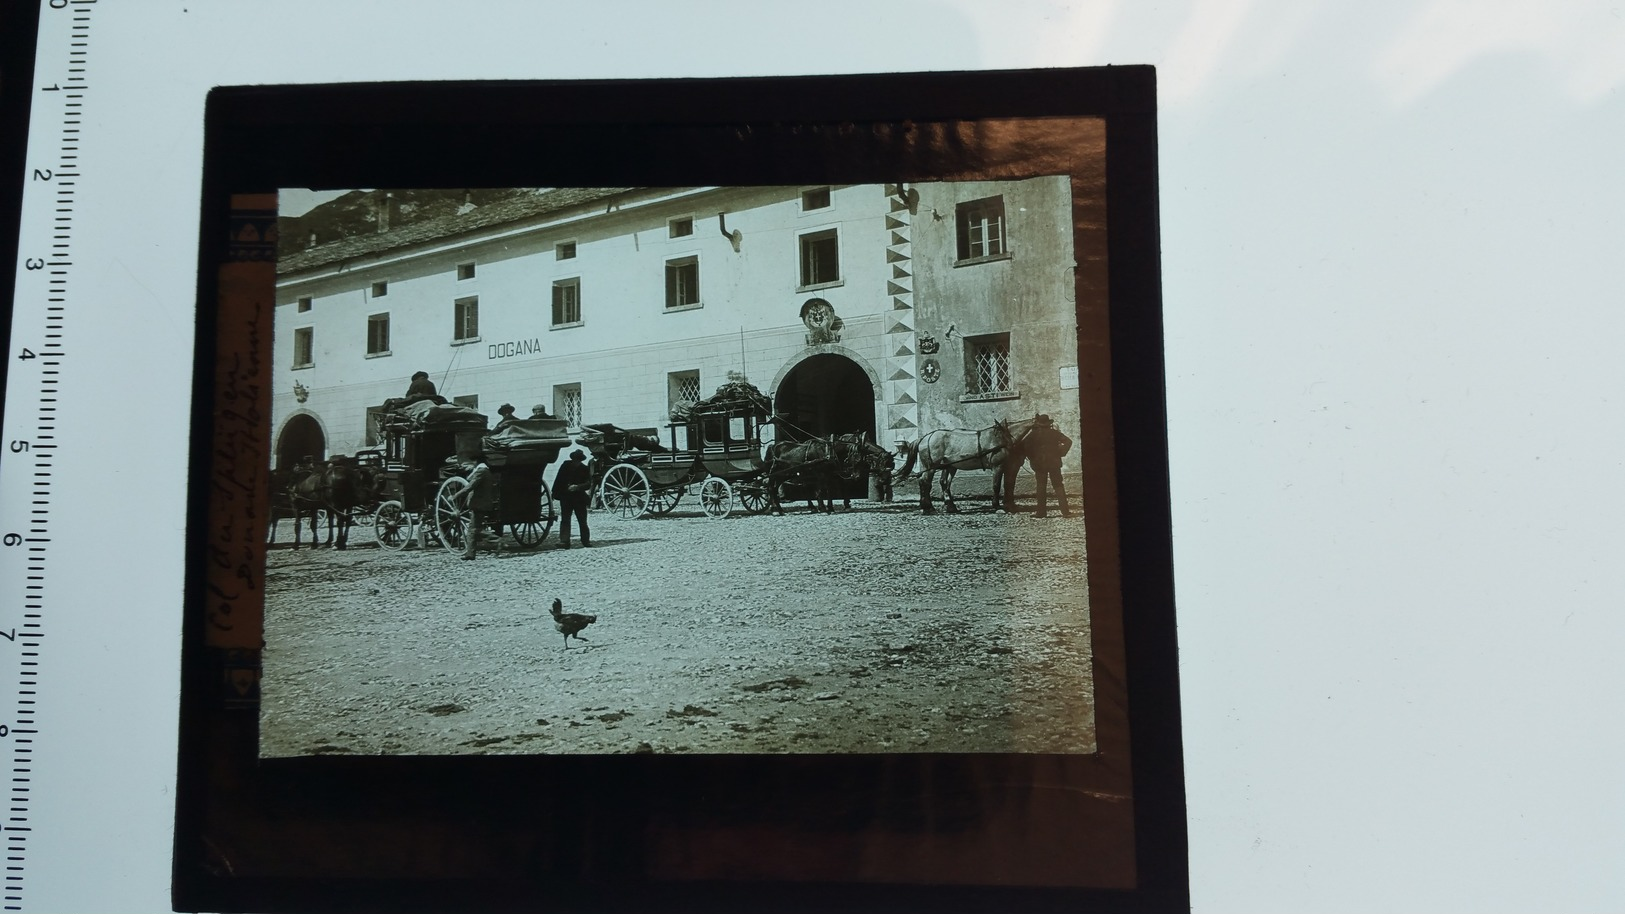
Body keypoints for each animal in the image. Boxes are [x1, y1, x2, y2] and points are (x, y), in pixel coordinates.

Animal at [890, 414, 1040, 513]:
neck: (1004, 438)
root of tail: (925, 437)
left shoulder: (1009, 466)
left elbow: (1009, 484)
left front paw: (1010, 506)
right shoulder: (998, 466)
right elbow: (997, 486)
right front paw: (997, 506)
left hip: (949, 466)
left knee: (944, 483)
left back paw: (950, 507)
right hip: (930, 466)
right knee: (924, 482)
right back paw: (928, 507)